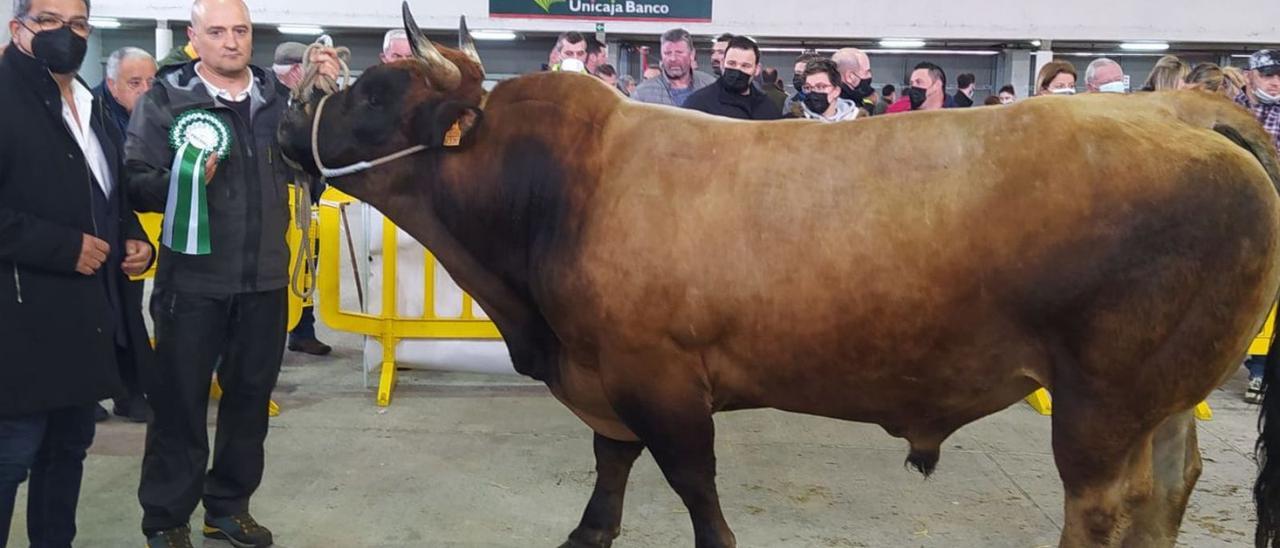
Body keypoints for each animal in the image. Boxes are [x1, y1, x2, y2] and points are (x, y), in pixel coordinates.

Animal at [280, 5, 1280, 548]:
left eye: (375, 92)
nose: (290, 125)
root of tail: (1184, 112)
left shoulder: (660, 377)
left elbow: (695, 489)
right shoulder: (604, 376)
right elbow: (610, 468)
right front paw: (586, 530)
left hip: (1100, 406)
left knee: (1106, 509)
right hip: (1158, 405)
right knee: (1169, 491)